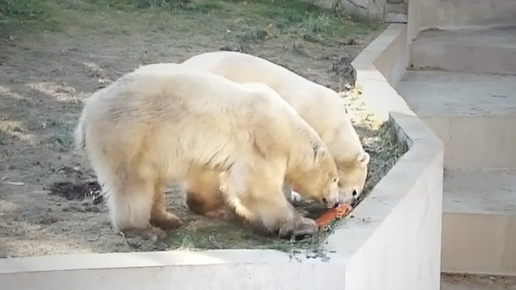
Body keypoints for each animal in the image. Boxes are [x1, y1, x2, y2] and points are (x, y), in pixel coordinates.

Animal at [74, 68, 342, 240]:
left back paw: (166, 218)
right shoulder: (262, 142)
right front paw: (302, 224)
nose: (338, 202)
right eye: (335, 179)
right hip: (129, 135)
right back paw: (143, 230)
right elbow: (256, 188)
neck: (287, 128)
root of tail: (86, 115)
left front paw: (223, 209)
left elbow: (215, 177)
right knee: (132, 183)